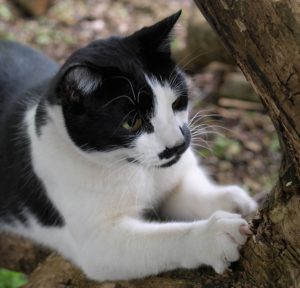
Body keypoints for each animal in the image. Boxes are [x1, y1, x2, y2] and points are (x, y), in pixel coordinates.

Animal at [0, 11, 258, 282]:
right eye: (132, 122)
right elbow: (164, 237)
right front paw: (212, 236)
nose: (178, 145)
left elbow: (189, 190)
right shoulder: (98, 243)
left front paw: (232, 199)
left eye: (177, 102)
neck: (137, 170)